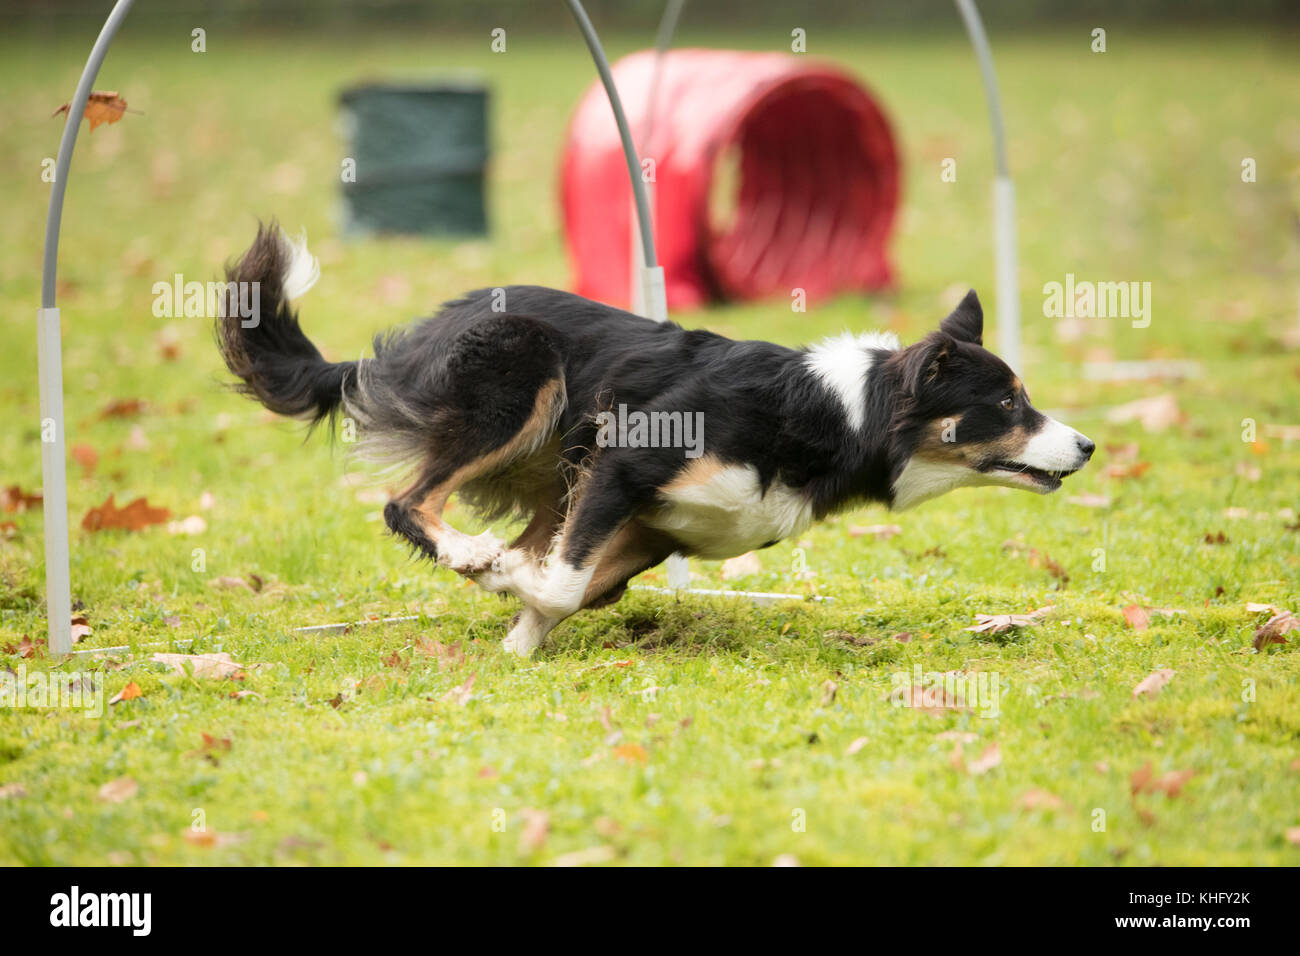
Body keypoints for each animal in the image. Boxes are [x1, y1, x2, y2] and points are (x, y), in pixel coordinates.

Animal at [218, 226, 1092, 658]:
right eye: (1008, 402)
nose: (1086, 446)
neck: (843, 411)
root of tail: (422, 330)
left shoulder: (649, 525)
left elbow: (575, 589)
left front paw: (513, 639)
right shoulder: (628, 463)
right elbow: (560, 587)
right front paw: (504, 582)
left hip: (558, 469)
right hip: (521, 373)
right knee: (406, 501)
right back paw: (471, 553)